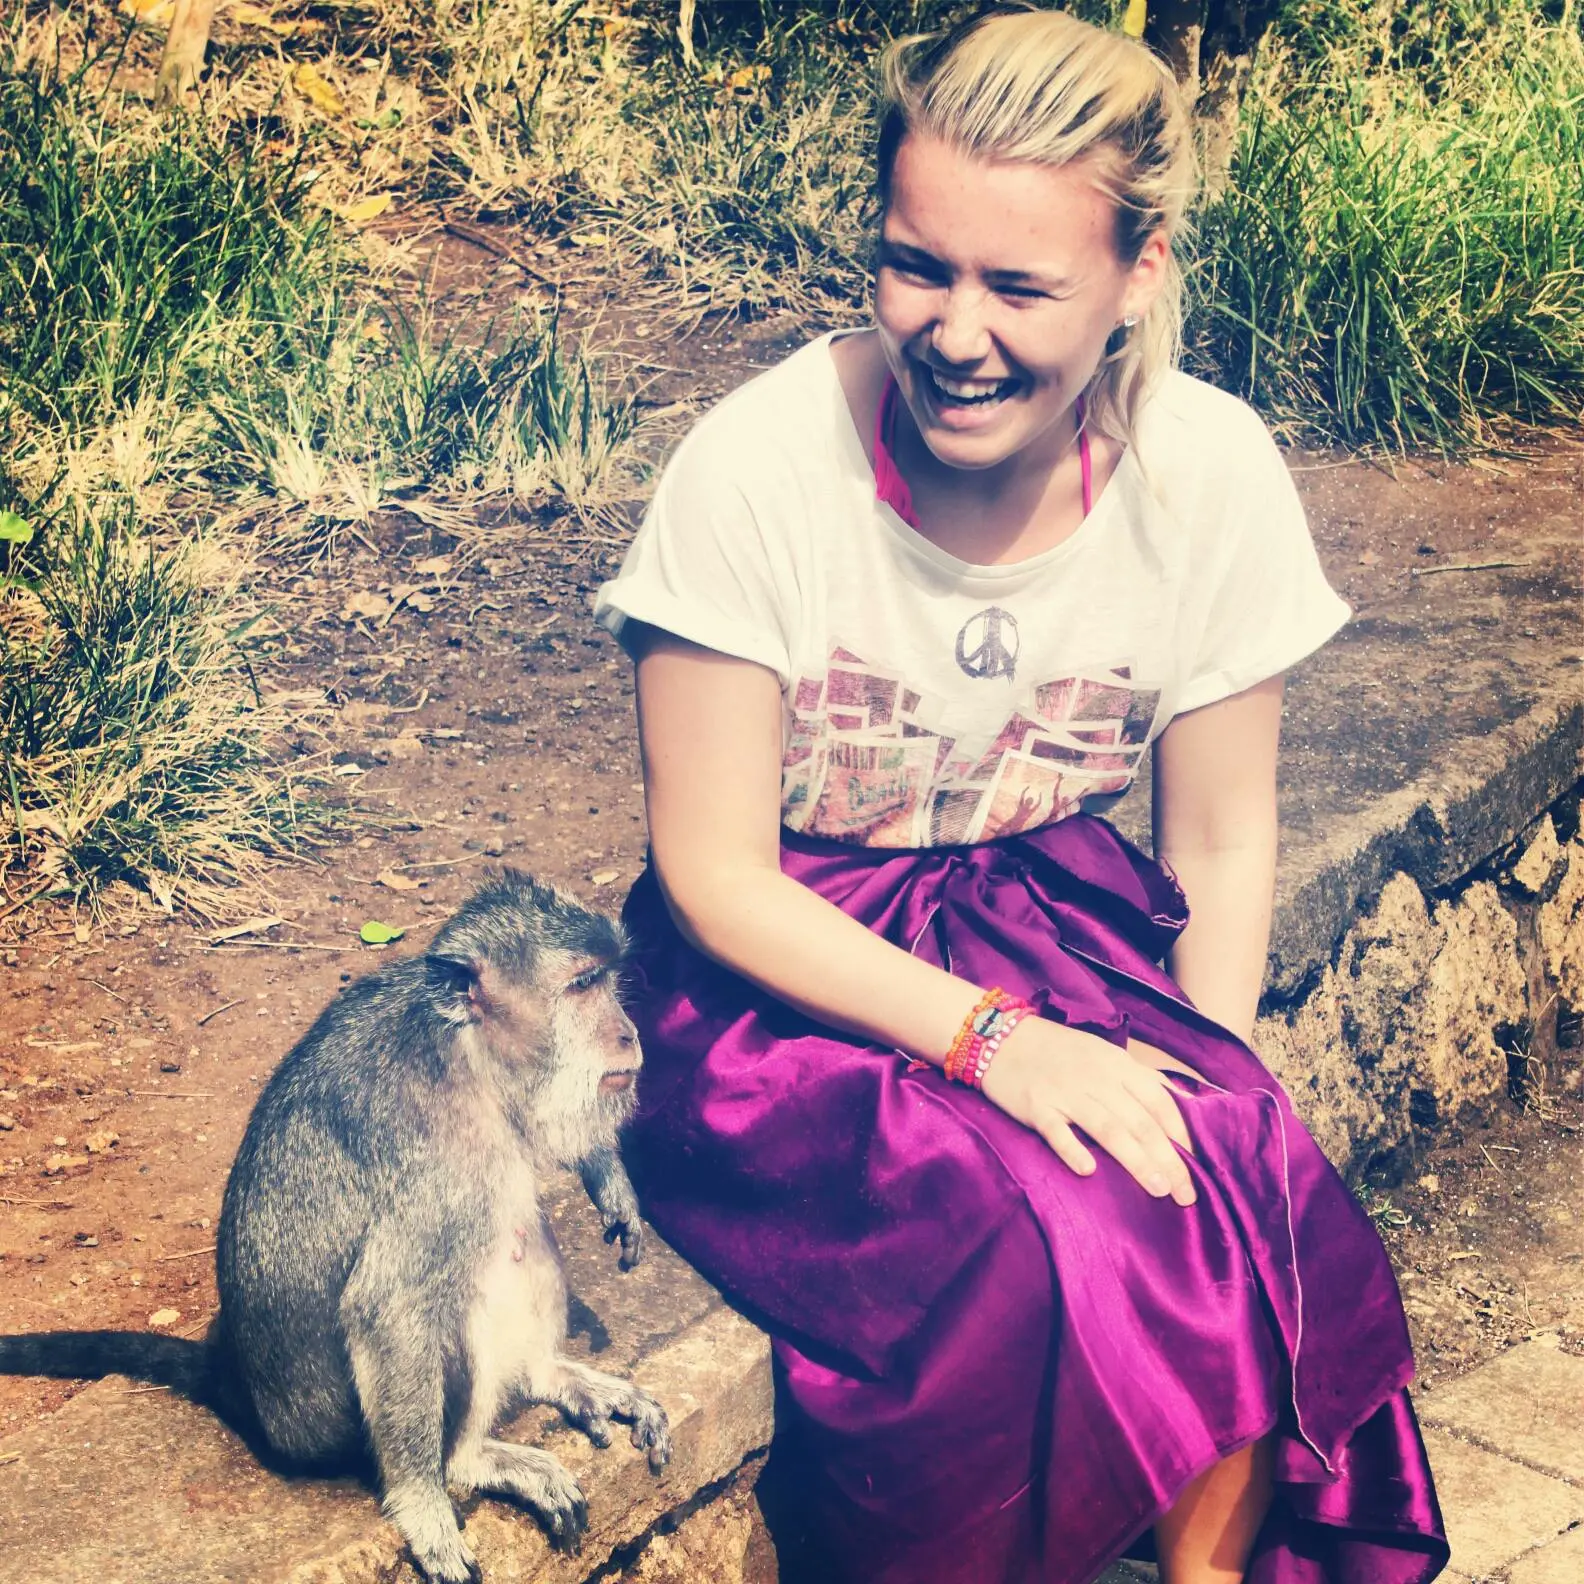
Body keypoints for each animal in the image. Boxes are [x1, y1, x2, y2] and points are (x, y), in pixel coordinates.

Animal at [0, 874, 668, 1577]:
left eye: (607, 978)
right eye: (583, 985)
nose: (628, 1035)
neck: (467, 1051)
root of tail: (252, 1397)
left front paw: (609, 1179)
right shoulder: (436, 1161)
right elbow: (385, 1309)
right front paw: (423, 1505)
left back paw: (548, 1375)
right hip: (336, 1426)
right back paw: (469, 1457)